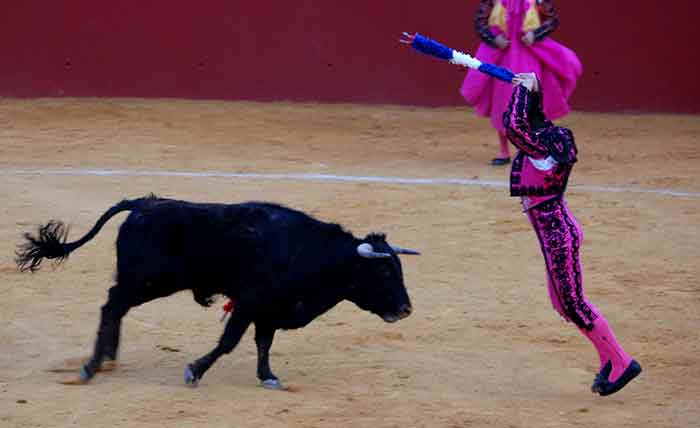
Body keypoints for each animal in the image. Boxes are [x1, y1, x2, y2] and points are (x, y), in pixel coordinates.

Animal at [16, 196, 418, 390]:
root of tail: (144, 203)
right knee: (110, 306)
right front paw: (194, 371)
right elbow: (229, 342)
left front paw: (268, 376)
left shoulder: (269, 311)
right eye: (383, 270)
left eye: (398, 269)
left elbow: (263, 344)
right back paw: (91, 366)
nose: (406, 308)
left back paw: (107, 359)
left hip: (145, 284)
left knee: (116, 308)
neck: (311, 253)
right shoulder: (251, 303)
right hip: (146, 282)